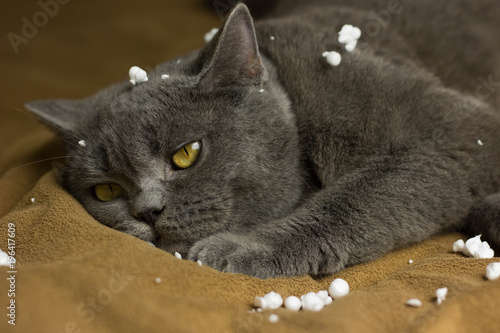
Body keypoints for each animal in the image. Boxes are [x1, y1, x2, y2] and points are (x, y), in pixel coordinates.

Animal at [26, 0, 500, 278]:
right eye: (106, 191)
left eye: (186, 154)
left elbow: (359, 196)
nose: (146, 212)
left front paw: (244, 247)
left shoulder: (457, 132)